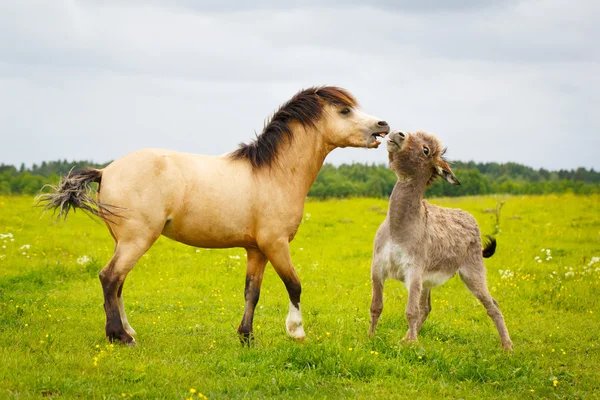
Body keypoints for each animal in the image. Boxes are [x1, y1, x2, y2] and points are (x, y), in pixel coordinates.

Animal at [39, 86, 392, 346]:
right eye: (345, 111)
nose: (384, 126)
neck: (272, 174)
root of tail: (106, 170)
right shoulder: (276, 244)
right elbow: (294, 285)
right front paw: (296, 331)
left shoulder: (256, 250)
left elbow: (252, 292)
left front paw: (247, 337)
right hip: (137, 239)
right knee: (110, 278)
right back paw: (120, 337)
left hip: (124, 241)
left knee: (118, 283)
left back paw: (127, 330)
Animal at [370, 130, 510, 350]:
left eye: (426, 150)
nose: (397, 133)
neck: (397, 228)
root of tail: (469, 217)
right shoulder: (378, 269)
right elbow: (376, 306)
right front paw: (371, 338)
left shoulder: (413, 271)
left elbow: (411, 311)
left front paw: (412, 345)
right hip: (428, 280)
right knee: (426, 308)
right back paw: (407, 337)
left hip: (472, 273)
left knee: (492, 305)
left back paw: (507, 347)